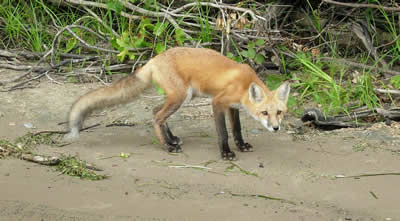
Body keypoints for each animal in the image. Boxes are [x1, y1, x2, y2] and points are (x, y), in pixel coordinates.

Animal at [65, 47, 290, 160]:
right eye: (264, 113)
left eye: (279, 112)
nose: (276, 128)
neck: (244, 84)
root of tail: (153, 59)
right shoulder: (218, 102)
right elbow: (224, 133)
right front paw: (226, 153)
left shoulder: (232, 107)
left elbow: (237, 129)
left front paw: (242, 145)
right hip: (181, 97)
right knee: (157, 117)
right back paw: (167, 146)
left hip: (180, 97)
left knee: (155, 111)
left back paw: (171, 139)